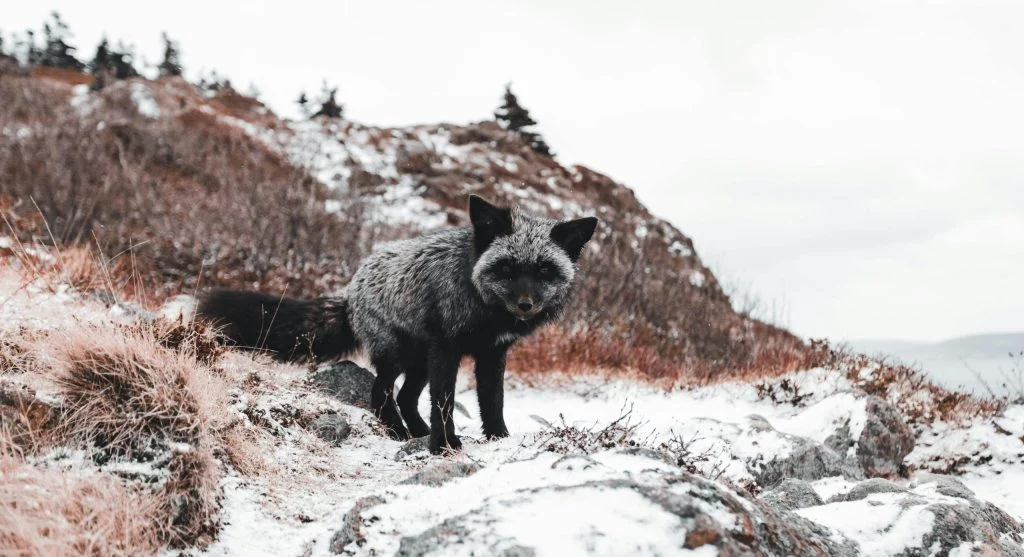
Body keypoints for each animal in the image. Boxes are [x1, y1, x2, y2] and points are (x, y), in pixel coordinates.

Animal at [198, 195, 598, 454]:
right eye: (507, 268)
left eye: (544, 271)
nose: (525, 305)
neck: (483, 305)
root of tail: (350, 290)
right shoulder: (448, 348)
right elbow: (444, 402)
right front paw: (442, 446)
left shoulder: (492, 353)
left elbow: (492, 401)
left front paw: (498, 438)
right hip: (399, 355)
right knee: (381, 395)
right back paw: (400, 433)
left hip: (419, 360)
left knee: (405, 398)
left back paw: (415, 431)